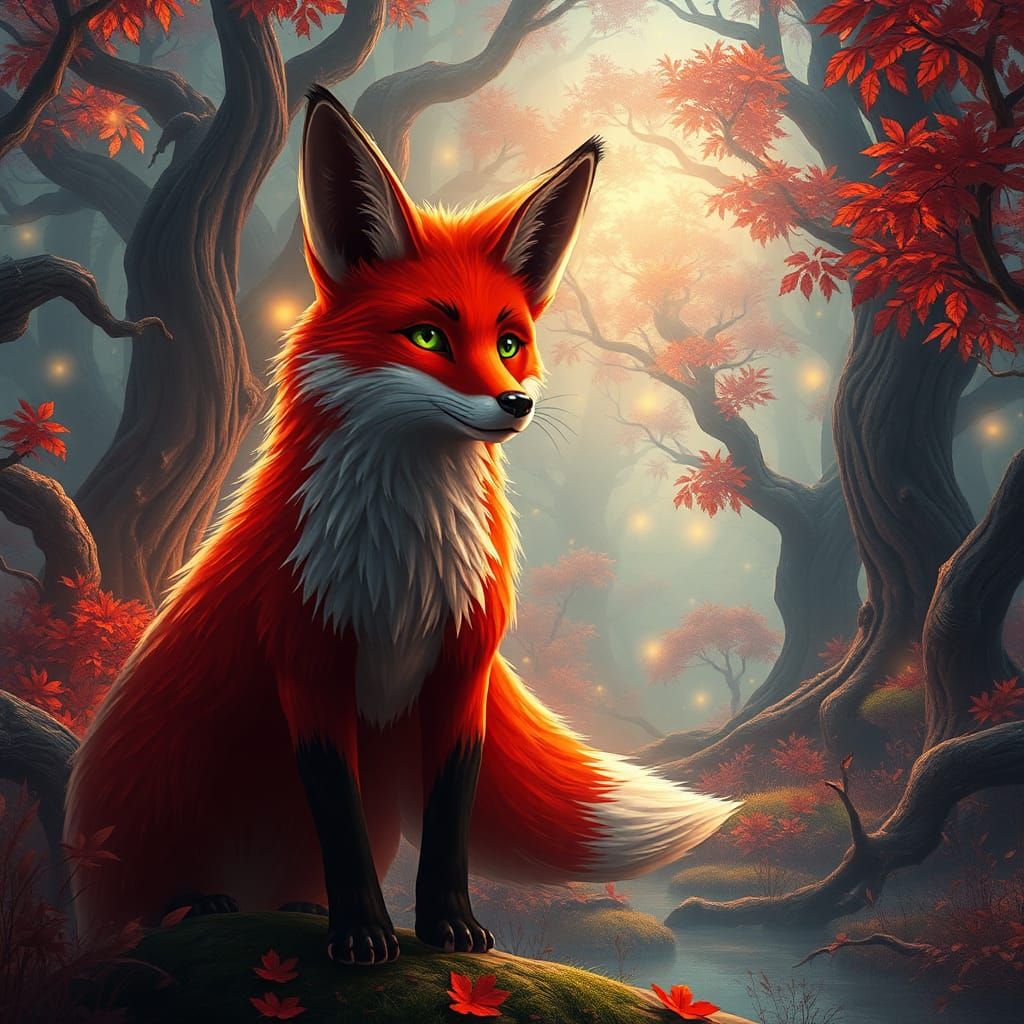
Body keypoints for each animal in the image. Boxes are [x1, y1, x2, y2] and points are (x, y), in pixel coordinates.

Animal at [64, 85, 740, 967]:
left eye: (510, 342)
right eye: (428, 336)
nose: (515, 404)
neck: (402, 573)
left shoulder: (459, 671)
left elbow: (449, 821)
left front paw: (450, 928)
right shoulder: (309, 667)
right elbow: (340, 822)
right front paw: (363, 935)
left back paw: (294, 908)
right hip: (163, 791)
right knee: (138, 913)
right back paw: (195, 907)